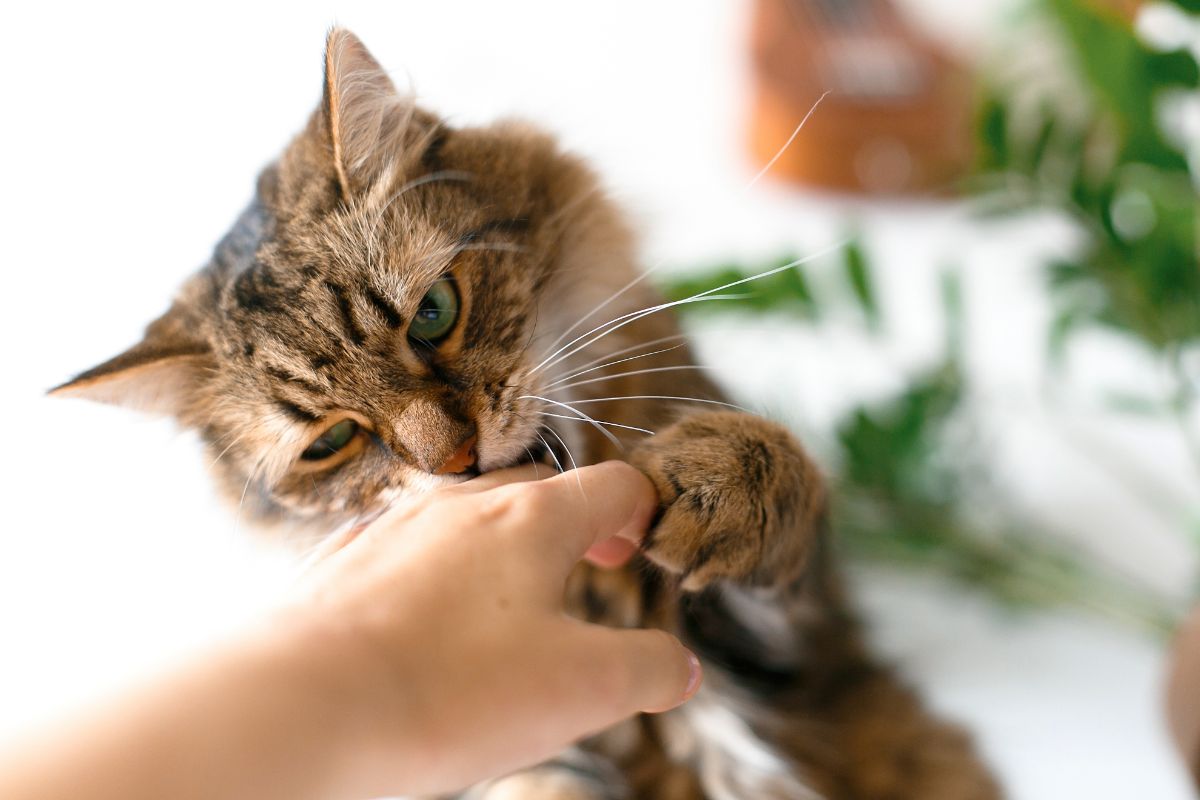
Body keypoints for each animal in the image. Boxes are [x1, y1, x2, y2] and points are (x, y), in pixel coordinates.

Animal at [51, 26, 998, 800]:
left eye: (433, 313)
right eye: (334, 441)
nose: (455, 460)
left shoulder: (790, 647)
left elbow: (780, 475)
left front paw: (714, 481)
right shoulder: (513, 755)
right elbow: (538, 782)